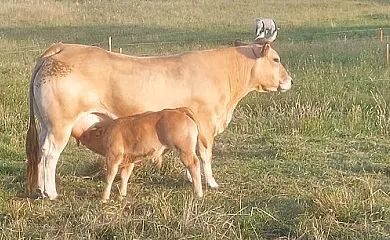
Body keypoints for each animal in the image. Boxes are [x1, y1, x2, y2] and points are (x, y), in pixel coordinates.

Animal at [79, 107, 207, 201]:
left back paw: (198, 193)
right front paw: (122, 196)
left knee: (194, 165)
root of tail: (178, 110)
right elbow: (124, 177)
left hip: (185, 151)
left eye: (91, 133)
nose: (82, 136)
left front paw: (104, 198)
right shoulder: (129, 160)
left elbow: (110, 177)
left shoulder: (112, 158)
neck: (109, 131)